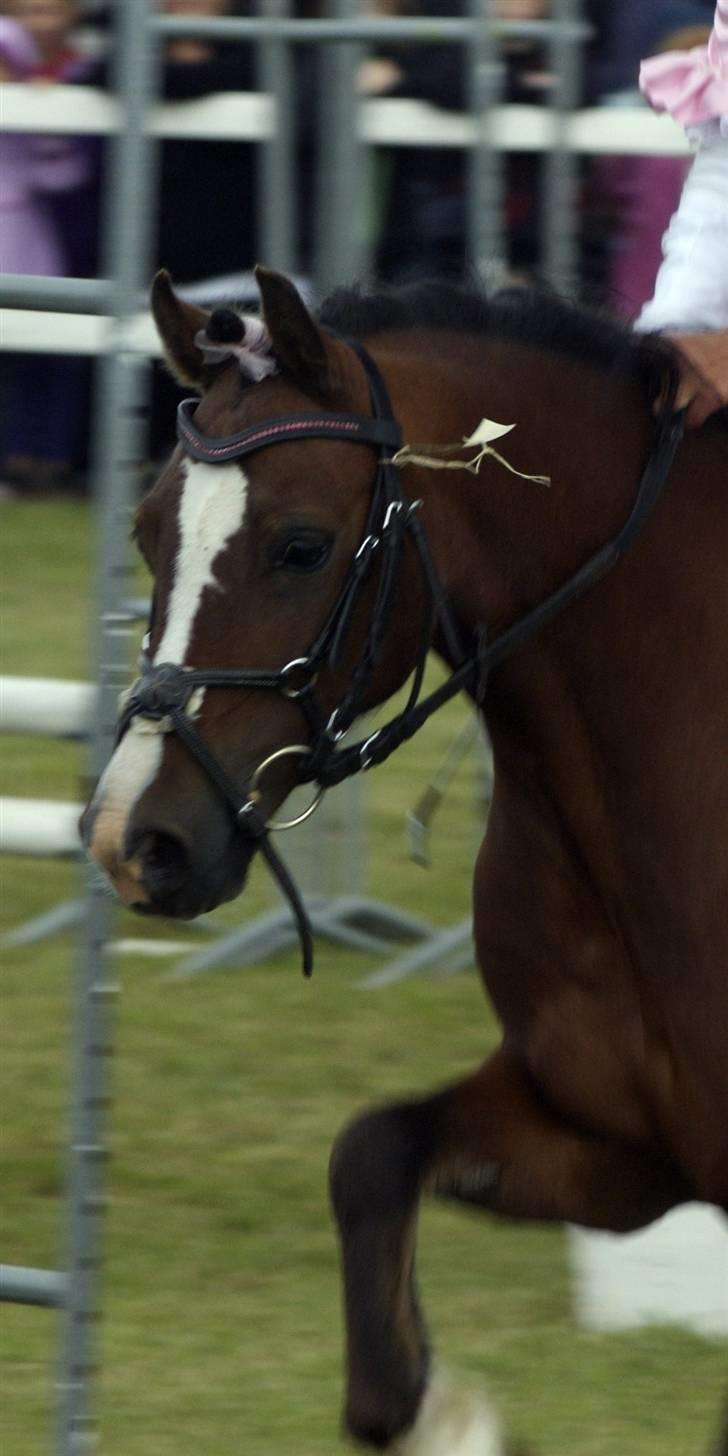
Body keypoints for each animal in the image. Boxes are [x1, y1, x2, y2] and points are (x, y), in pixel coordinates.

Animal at [85, 267, 728, 1450]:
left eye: (300, 545)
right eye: (149, 535)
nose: (135, 840)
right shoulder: (612, 1135)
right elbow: (371, 1157)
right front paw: (446, 1413)